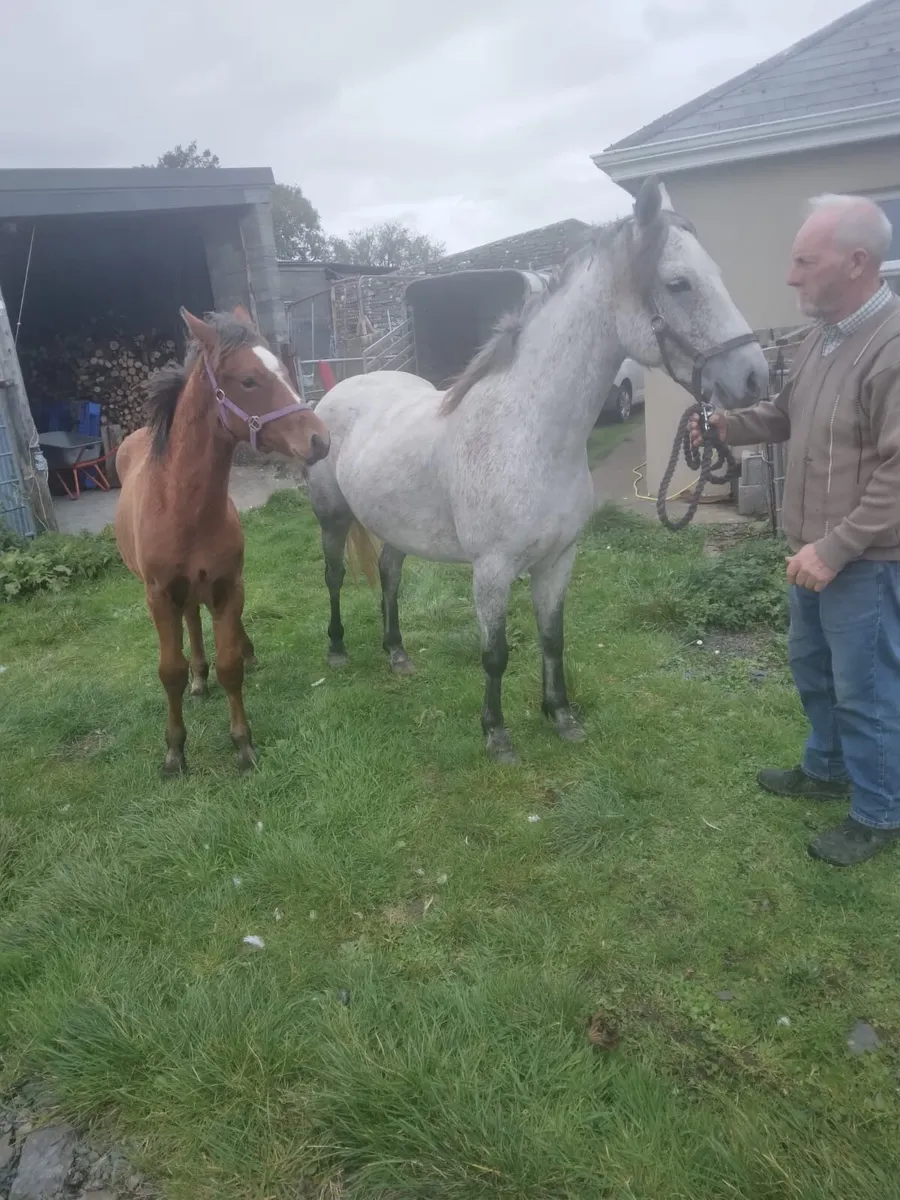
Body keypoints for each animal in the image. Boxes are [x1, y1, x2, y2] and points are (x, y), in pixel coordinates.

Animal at [114, 305, 330, 775]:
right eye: (248, 380)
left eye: (284, 370)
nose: (320, 440)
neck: (182, 509)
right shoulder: (158, 595)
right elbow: (170, 672)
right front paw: (175, 752)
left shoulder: (228, 584)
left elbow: (231, 667)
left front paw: (243, 745)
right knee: (190, 624)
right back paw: (198, 678)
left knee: (203, 620)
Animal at [305, 176, 769, 764]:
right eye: (679, 283)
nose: (755, 377)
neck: (528, 434)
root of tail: (338, 389)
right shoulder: (492, 569)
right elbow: (496, 653)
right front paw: (497, 736)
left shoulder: (558, 560)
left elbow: (553, 638)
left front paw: (561, 717)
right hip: (333, 516)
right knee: (335, 576)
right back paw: (337, 649)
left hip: (395, 525)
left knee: (389, 576)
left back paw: (397, 654)